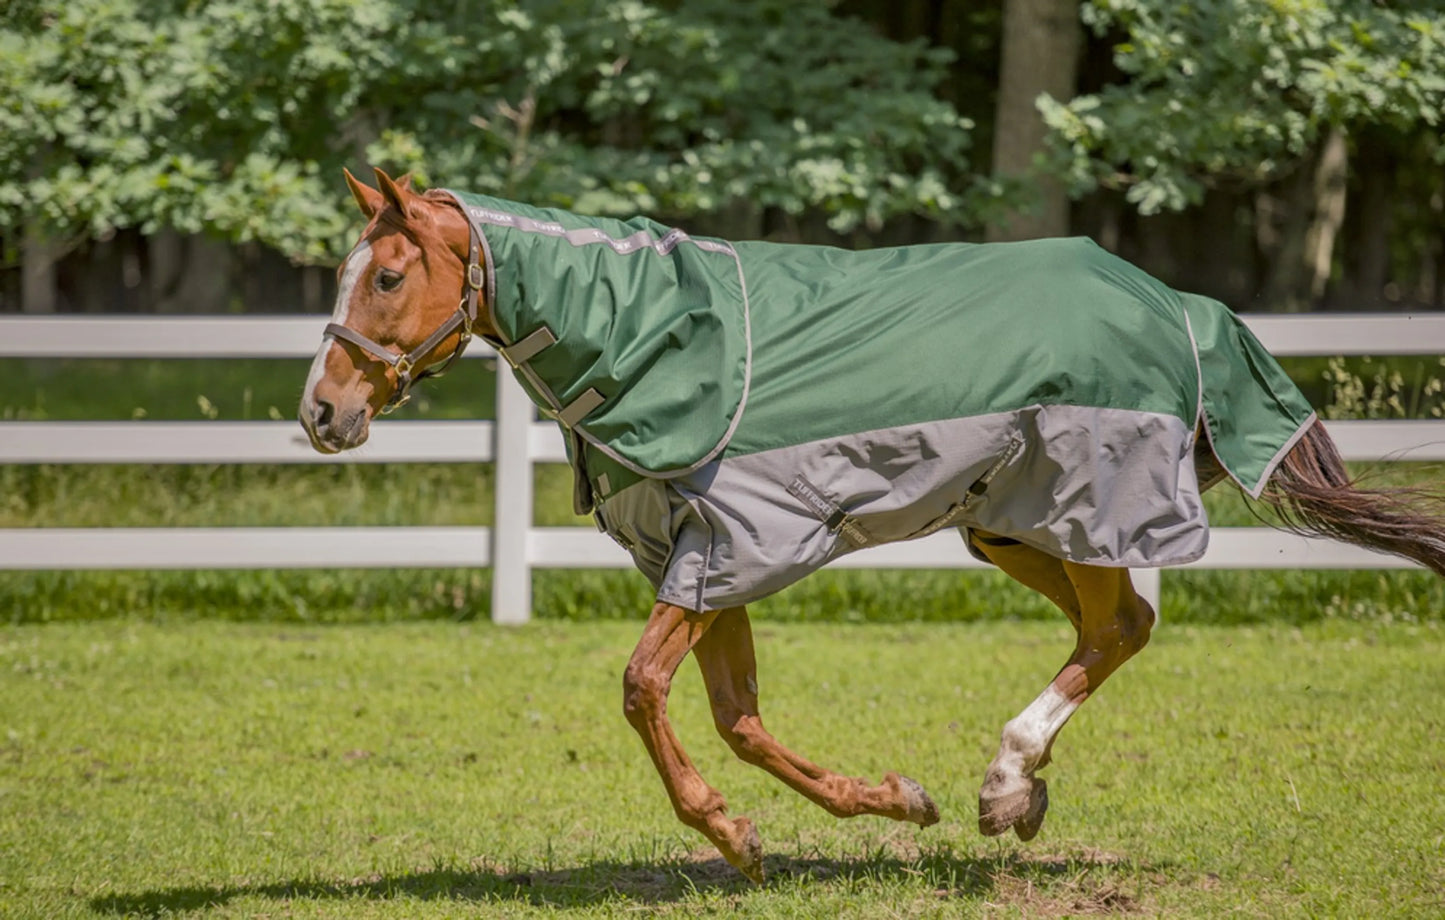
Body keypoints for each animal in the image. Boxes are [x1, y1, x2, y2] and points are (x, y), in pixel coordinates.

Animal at [300, 167, 1445, 883]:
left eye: (388, 275)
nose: (321, 413)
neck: (650, 338)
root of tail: (1179, 304)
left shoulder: (736, 546)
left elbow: (641, 689)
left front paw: (732, 831)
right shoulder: (702, 558)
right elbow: (737, 717)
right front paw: (883, 803)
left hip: (1079, 503)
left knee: (1118, 625)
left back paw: (1003, 779)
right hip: (1013, 525)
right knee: (1115, 626)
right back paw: (1018, 792)